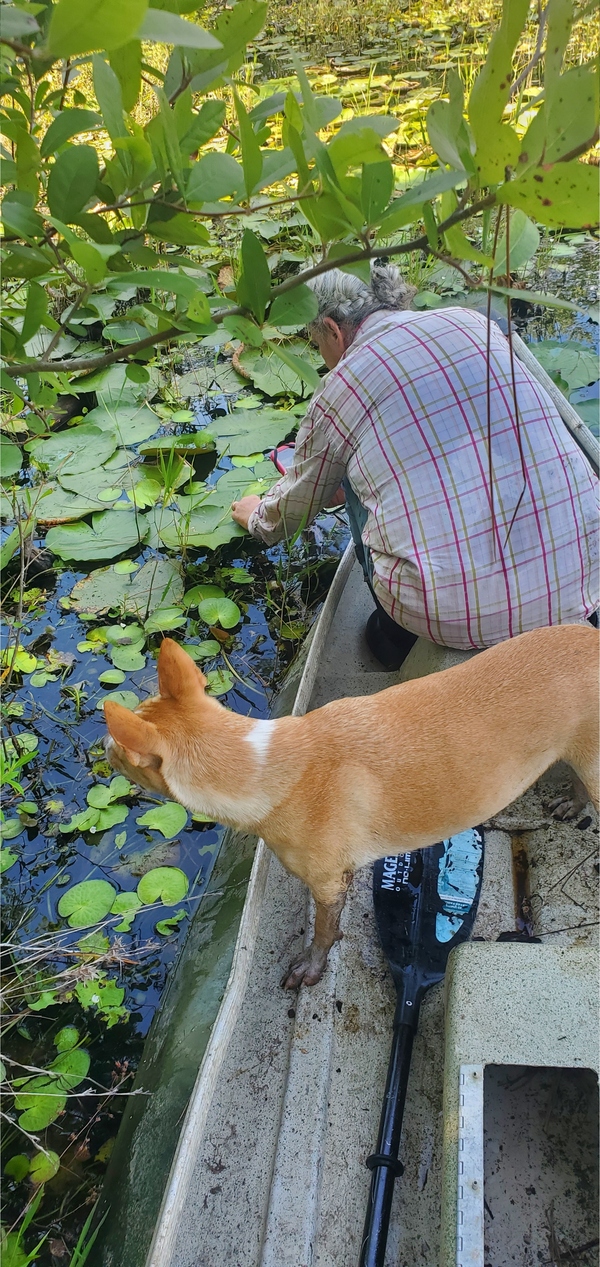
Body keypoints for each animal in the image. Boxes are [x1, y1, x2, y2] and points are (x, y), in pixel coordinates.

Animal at [105, 623, 597, 988]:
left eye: (116, 750)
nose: (101, 752)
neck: (264, 764)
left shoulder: (326, 884)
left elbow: (324, 932)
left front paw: (312, 965)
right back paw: (570, 804)